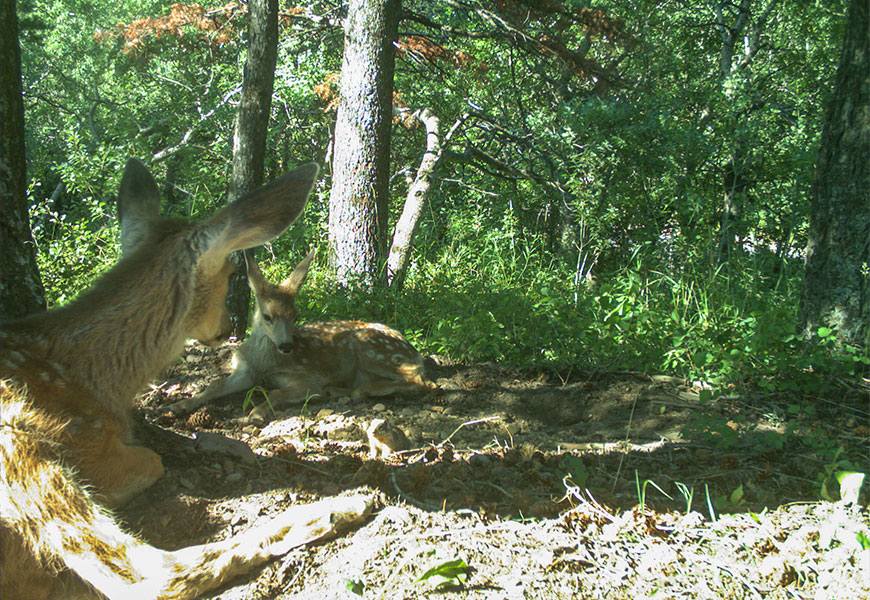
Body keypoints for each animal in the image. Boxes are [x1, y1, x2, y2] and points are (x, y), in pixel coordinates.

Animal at [0, 159, 372, 600]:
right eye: (230, 270)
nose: (227, 327)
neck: (96, 379)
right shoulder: (82, 434)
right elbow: (151, 461)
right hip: (18, 449)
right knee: (149, 575)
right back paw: (341, 508)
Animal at [164, 246, 436, 420]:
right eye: (267, 316)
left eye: (295, 315)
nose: (287, 346)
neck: (265, 363)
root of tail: (413, 351)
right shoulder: (246, 372)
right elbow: (214, 386)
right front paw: (178, 406)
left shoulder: (308, 377)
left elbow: (276, 391)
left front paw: (255, 413)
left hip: (370, 346)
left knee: (423, 381)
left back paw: (357, 390)